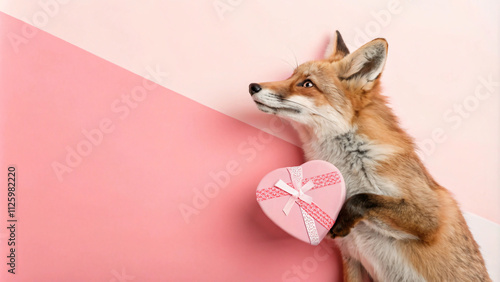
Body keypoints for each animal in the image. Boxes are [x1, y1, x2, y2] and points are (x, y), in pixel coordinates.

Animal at [248, 30, 490, 282]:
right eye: (291, 75)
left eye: (307, 84)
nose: (252, 86)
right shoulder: (351, 257)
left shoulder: (430, 219)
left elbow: (363, 198)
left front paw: (346, 215)